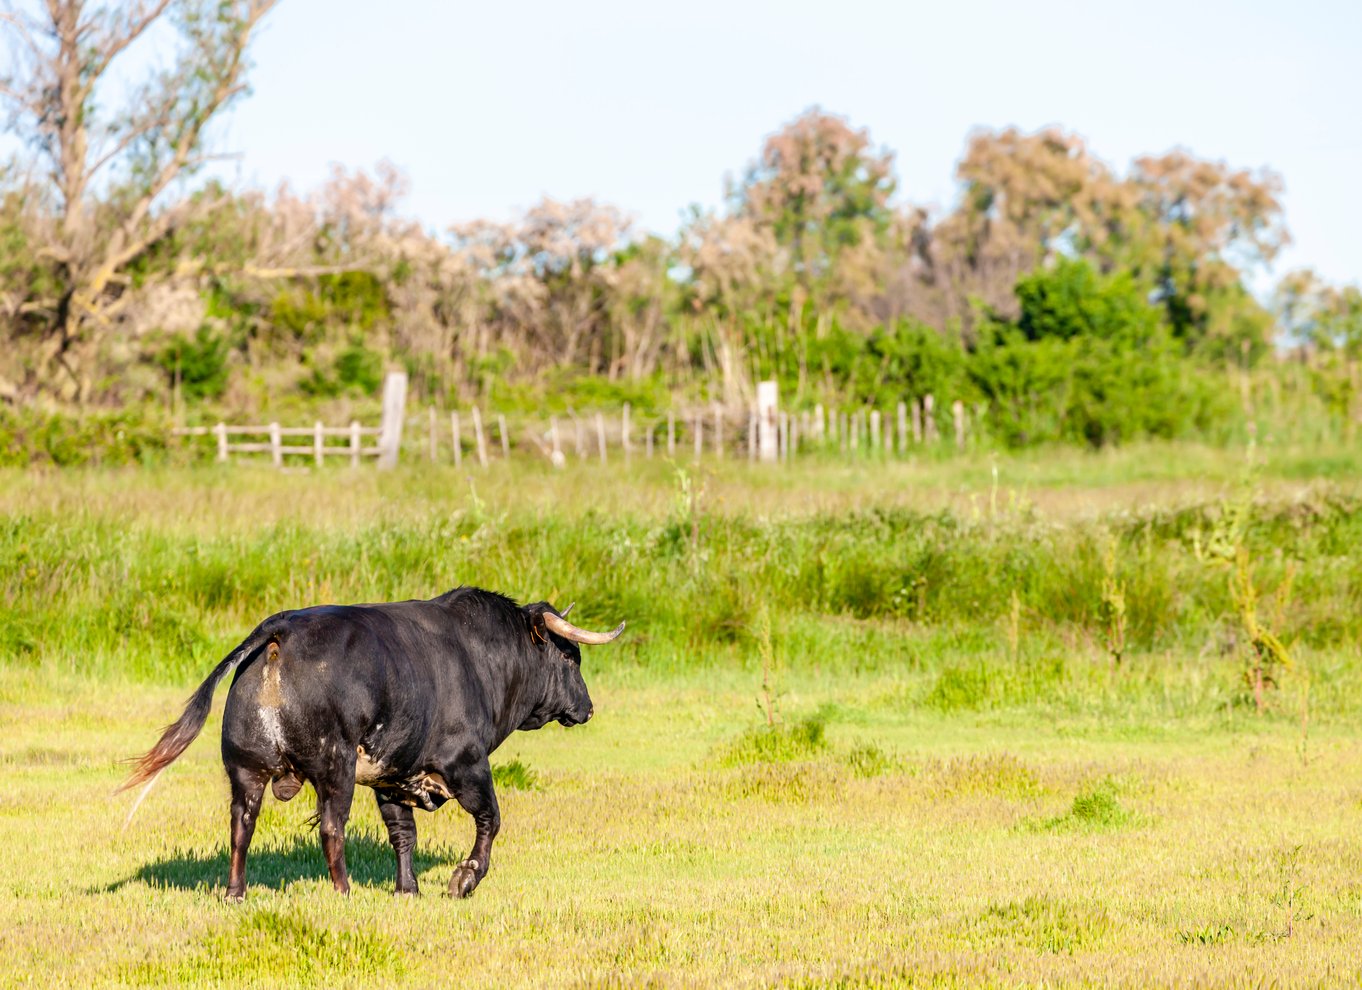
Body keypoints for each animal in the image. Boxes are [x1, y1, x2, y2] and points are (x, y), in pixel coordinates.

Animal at [119, 588, 623, 904]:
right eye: (569, 657)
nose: (587, 707)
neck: (480, 658)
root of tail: (280, 630)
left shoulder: (391, 775)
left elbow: (403, 834)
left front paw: (407, 889)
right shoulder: (466, 763)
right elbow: (490, 819)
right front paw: (464, 879)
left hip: (247, 770)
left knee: (242, 827)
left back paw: (235, 893)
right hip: (335, 766)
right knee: (330, 827)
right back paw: (343, 892)